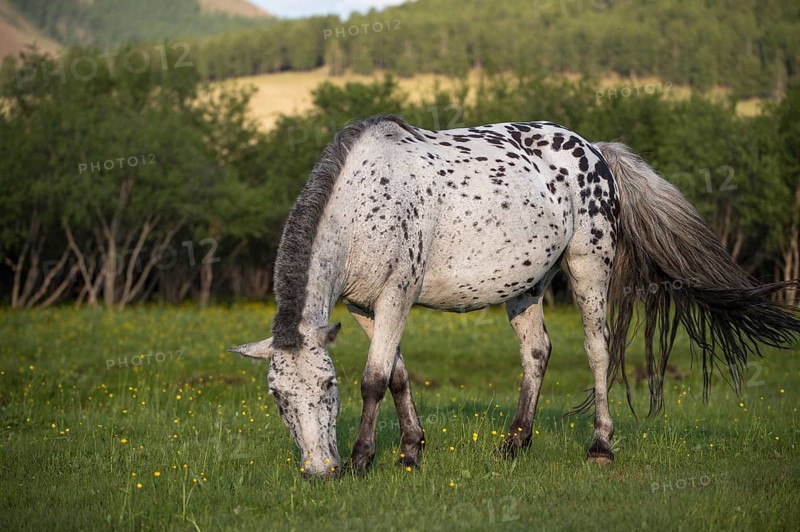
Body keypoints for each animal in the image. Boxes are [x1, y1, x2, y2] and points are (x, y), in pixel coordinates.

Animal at [229, 114, 800, 478]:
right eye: (277, 397)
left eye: (329, 387)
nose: (319, 471)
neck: (363, 201)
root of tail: (596, 150)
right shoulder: (364, 306)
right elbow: (396, 374)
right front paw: (411, 452)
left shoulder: (397, 295)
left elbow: (372, 379)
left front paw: (363, 459)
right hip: (527, 285)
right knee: (536, 352)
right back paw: (515, 443)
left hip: (589, 264)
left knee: (598, 351)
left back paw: (600, 447)